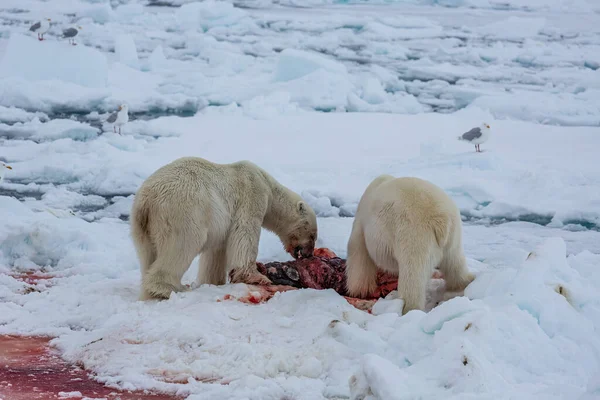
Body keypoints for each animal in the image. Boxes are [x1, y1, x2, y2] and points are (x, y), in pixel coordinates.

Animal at [130, 156, 318, 300]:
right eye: (313, 235)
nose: (308, 254)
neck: (269, 187)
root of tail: (148, 200)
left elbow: (216, 253)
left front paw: (213, 281)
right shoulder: (252, 194)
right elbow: (245, 234)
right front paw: (257, 277)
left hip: (141, 226)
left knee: (147, 255)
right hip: (184, 211)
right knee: (182, 245)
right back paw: (172, 288)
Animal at [344, 177, 476, 314]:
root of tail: (441, 220)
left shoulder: (362, 223)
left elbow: (358, 254)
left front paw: (358, 291)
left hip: (413, 233)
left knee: (412, 275)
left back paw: (407, 308)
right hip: (454, 235)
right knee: (455, 263)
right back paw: (463, 284)